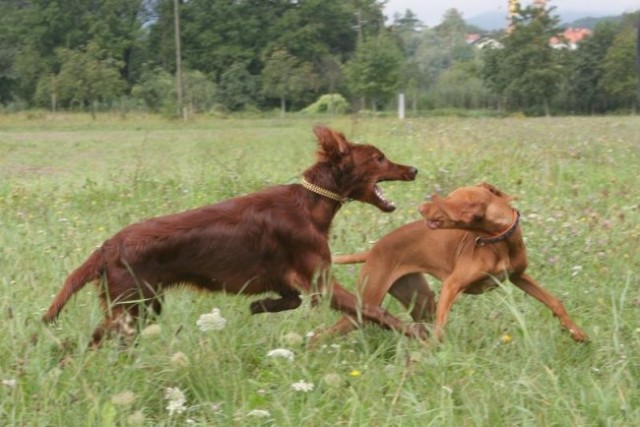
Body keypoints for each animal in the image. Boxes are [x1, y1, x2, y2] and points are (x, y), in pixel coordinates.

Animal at [41, 125, 420, 346]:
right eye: (379, 157)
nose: (414, 169)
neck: (311, 204)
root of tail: (107, 246)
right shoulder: (322, 284)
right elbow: (375, 312)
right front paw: (419, 334)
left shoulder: (290, 281)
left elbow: (290, 299)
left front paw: (260, 306)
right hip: (132, 310)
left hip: (141, 307)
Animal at [332, 184, 588, 344]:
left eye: (447, 201)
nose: (420, 208)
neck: (499, 240)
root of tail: (373, 249)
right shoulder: (452, 285)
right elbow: (440, 327)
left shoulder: (519, 276)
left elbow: (554, 302)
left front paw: (577, 333)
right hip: (367, 303)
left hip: (420, 300)